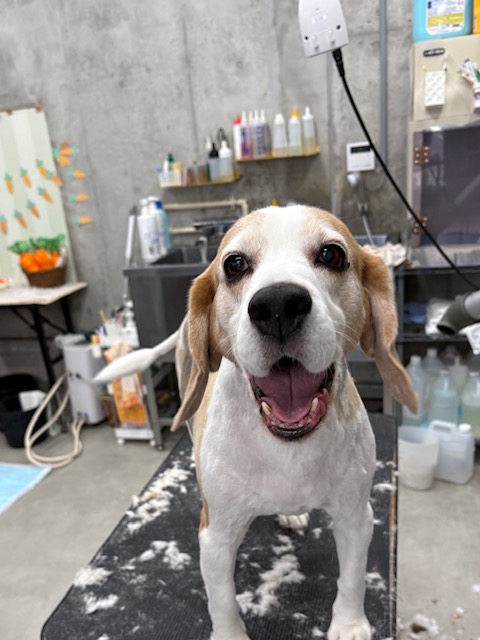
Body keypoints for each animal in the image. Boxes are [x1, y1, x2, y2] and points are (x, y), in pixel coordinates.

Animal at [171, 204, 416, 640]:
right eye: (234, 264)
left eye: (331, 254)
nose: (278, 305)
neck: (289, 446)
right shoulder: (215, 536)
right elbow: (223, 601)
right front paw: (230, 633)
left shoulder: (356, 516)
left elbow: (352, 577)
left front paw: (349, 624)